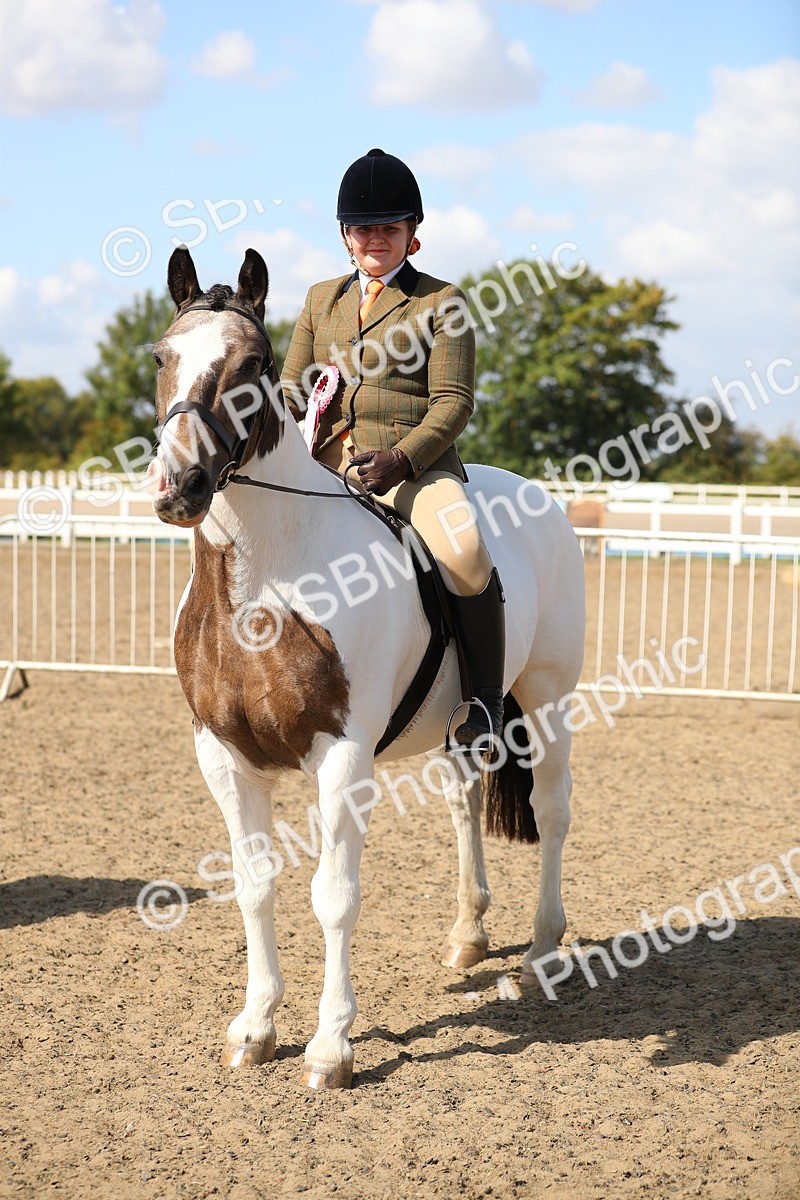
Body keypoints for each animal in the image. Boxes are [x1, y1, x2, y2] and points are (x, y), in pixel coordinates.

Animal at [150, 245, 586, 1089]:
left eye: (251, 364)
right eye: (162, 357)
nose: (179, 487)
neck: (265, 579)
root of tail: (535, 495)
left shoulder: (343, 757)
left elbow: (335, 896)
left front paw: (330, 1048)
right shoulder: (223, 756)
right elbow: (256, 886)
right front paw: (255, 1029)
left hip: (548, 699)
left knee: (552, 812)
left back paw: (544, 954)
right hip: (461, 727)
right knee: (463, 807)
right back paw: (468, 938)